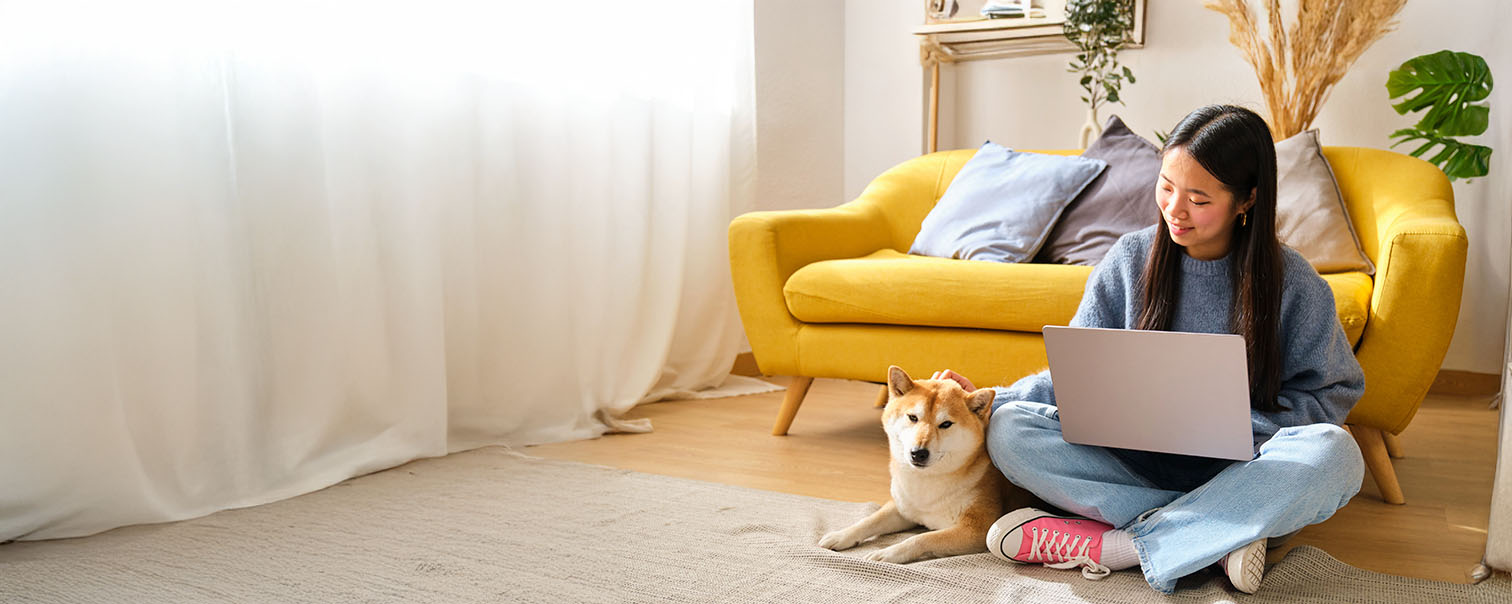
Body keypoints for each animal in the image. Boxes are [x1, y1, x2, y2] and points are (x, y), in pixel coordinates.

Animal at [816, 364, 1028, 569]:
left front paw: (887, 553)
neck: (926, 484)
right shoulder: (902, 508)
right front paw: (841, 535)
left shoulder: (976, 530)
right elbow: (869, 520)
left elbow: (921, 539)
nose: (918, 453)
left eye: (946, 424)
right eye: (913, 417)